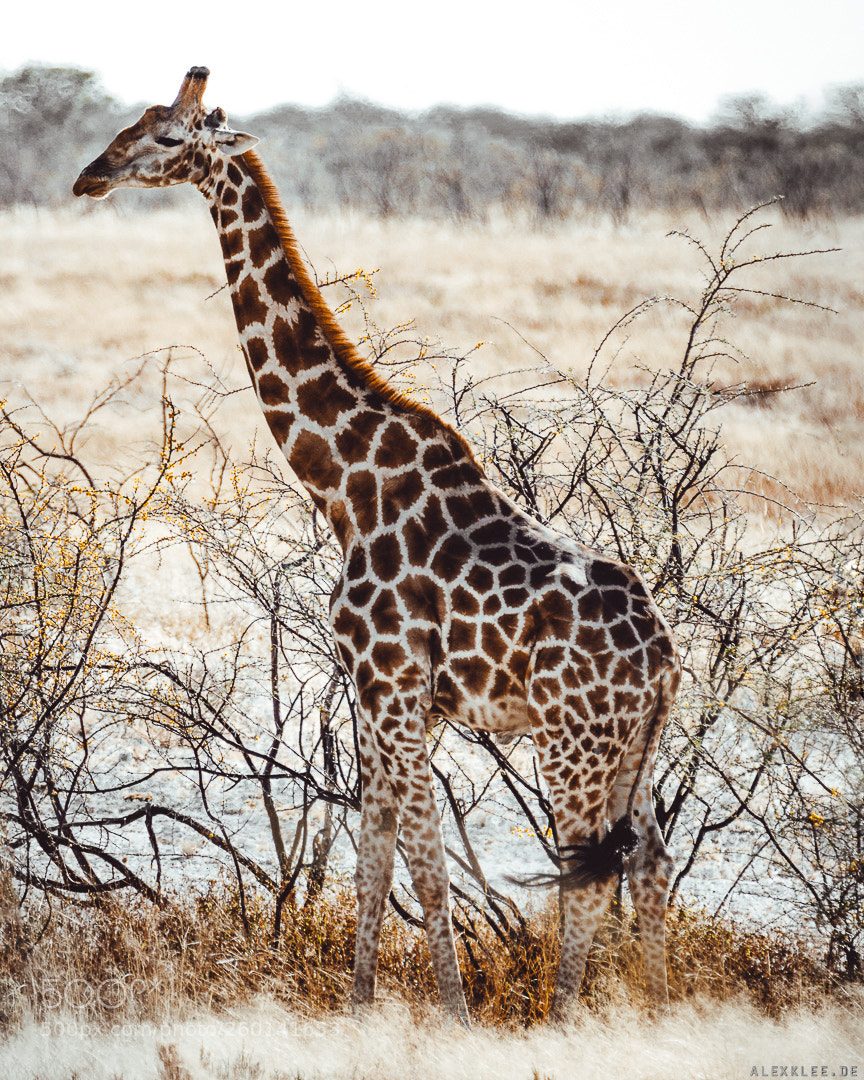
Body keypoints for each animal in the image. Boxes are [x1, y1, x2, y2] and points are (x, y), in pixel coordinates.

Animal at [74, 68, 681, 1023]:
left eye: (169, 137)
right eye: (132, 122)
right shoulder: (376, 697)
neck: (344, 486)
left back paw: (563, 1021)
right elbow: (374, 858)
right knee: (650, 864)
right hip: (634, 747)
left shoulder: (394, 687)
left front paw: (456, 1019)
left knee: (588, 873)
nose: (90, 174)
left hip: (570, 739)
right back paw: (654, 1014)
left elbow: (426, 869)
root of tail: (662, 659)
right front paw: (362, 1010)